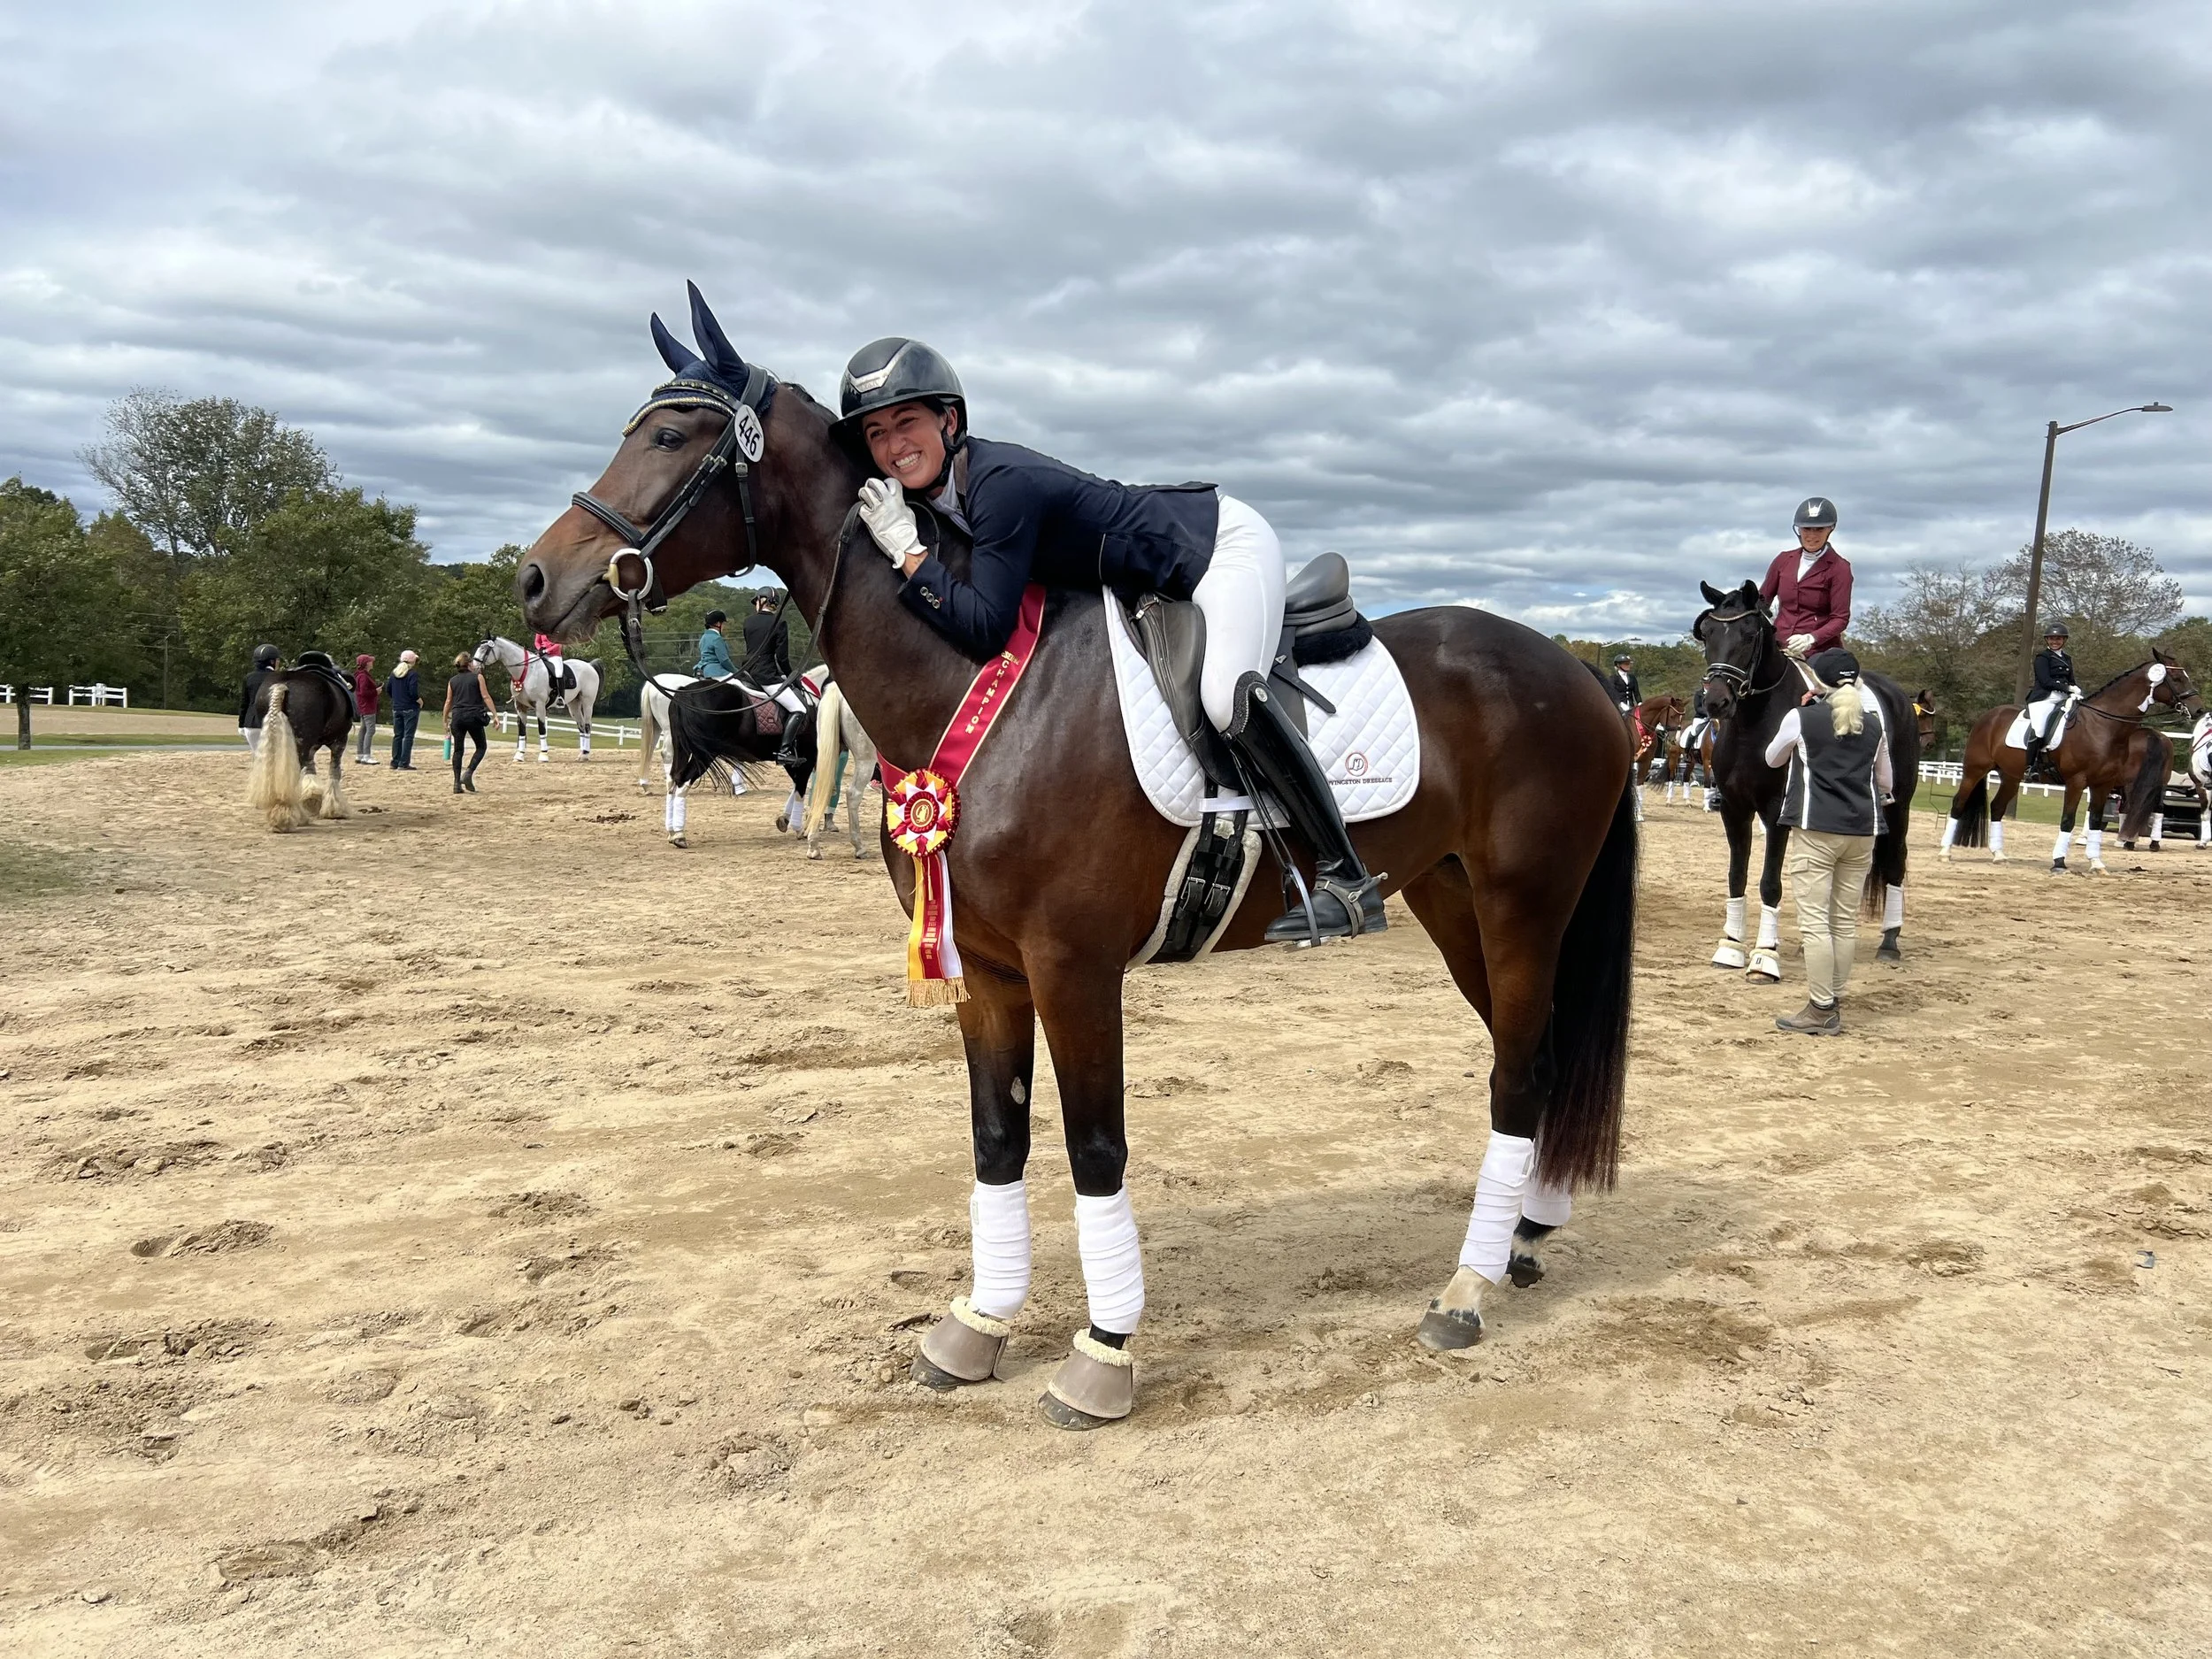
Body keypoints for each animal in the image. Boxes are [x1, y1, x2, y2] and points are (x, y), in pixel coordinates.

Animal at [244, 657, 355, 832]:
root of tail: (283, 684)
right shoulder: (339, 740)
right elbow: (334, 771)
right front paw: (334, 809)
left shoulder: (311, 744)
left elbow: (310, 768)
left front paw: (312, 797)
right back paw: (287, 817)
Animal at [473, 636, 603, 763]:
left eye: (485, 649)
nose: (474, 665)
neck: (527, 671)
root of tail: (589, 665)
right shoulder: (520, 706)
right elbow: (522, 730)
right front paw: (519, 755)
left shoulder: (539, 705)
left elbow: (541, 728)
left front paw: (543, 755)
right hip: (573, 705)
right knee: (581, 726)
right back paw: (581, 755)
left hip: (587, 703)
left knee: (587, 726)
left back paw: (585, 755)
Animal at [1691, 581, 1920, 977]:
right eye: (1707, 633)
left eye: (1749, 634)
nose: (1716, 702)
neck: (1753, 726)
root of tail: (1899, 696)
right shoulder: (1734, 810)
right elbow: (1737, 876)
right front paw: (1731, 947)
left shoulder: (1774, 813)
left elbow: (1769, 883)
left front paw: (1765, 957)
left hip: (1899, 805)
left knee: (1895, 863)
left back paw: (1889, 943)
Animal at [1939, 653, 2201, 873]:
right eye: (2177, 678)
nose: (2199, 710)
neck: (2103, 725)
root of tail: (1988, 717)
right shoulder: (2077, 781)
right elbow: (2067, 820)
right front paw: (2059, 862)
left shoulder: (2103, 784)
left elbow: (2095, 820)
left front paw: (2096, 863)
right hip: (1975, 770)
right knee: (1958, 804)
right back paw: (1945, 852)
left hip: (2011, 777)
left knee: (1998, 808)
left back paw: (1999, 855)